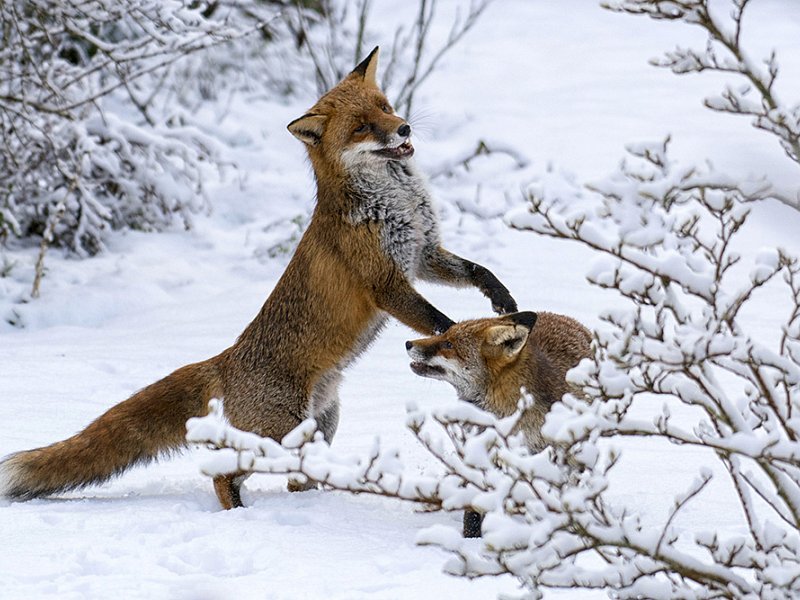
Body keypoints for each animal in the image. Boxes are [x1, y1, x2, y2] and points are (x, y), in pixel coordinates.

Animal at [0, 47, 517, 509]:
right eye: (363, 127)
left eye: (386, 108)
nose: (405, 127)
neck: (396, 198)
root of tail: (224, 359)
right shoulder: (386, 283)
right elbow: (437, 319)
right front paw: (465, 338)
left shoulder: (423, 255)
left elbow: (479, 271)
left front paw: (504, 303)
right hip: (281, 432)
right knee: (223, 472)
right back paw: (238, 510)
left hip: (321, 426)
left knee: (294, 477)